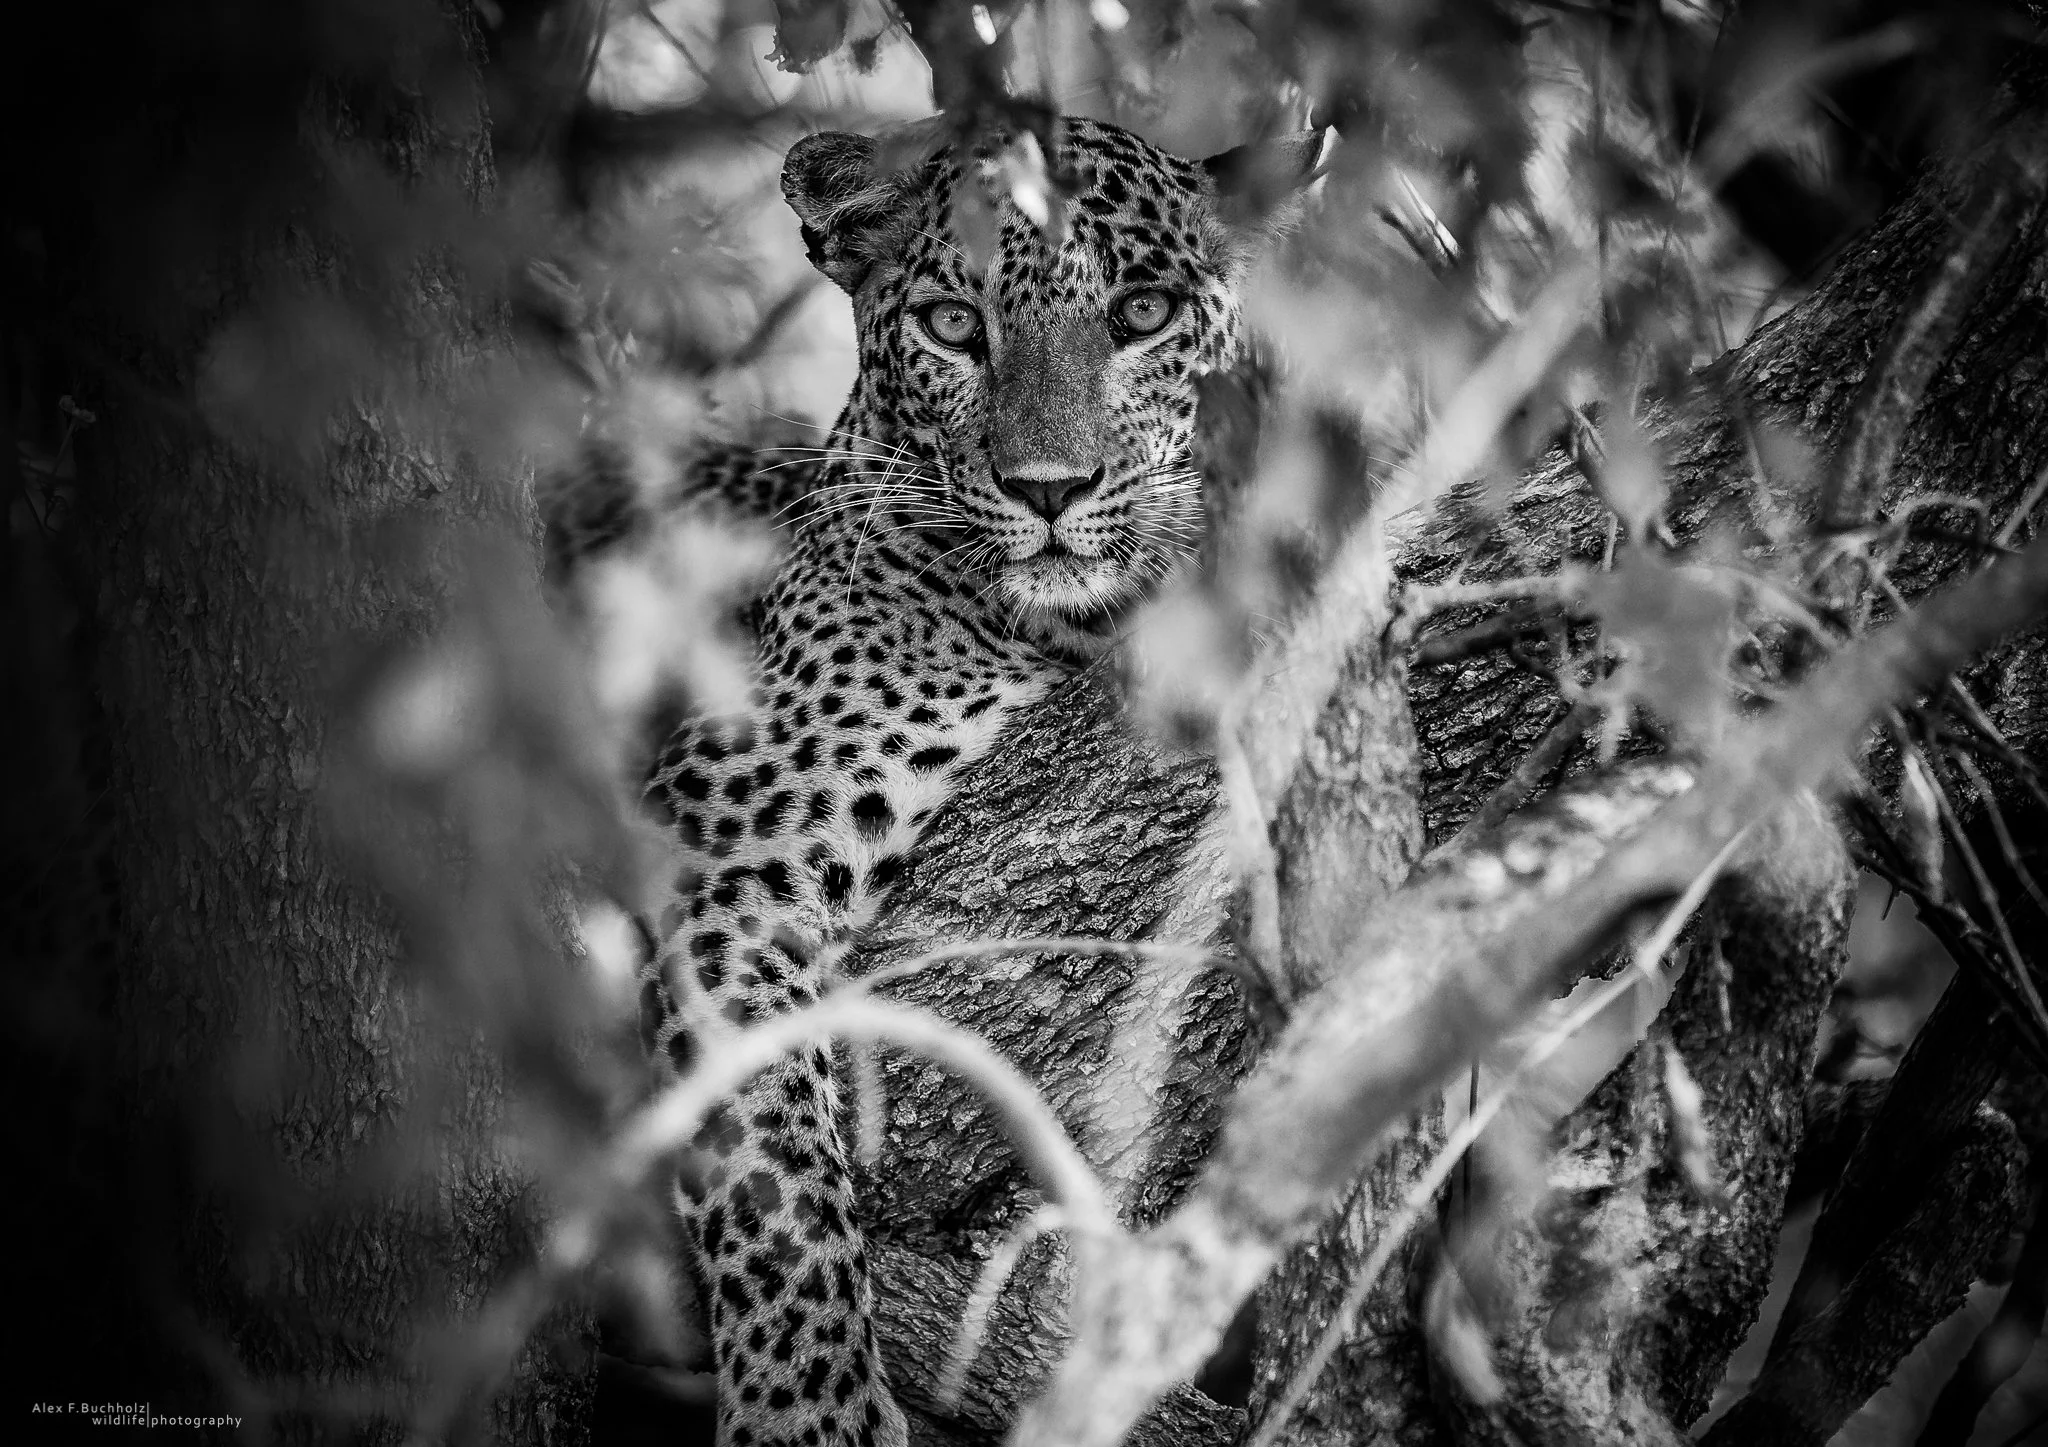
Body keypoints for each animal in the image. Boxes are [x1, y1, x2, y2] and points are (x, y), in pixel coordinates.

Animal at [625, 114, 1320, 1447]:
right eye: (953, 326)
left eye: (1142, 311)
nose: (1049, 488)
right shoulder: (725, 865)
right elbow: (771, 1168)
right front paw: (807, 1411)